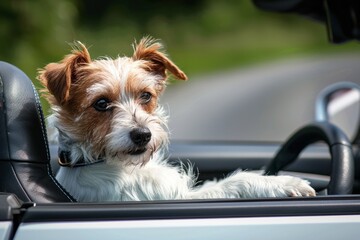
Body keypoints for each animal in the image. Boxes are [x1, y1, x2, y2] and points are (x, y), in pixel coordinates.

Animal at [38, 37, 316, 202]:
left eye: (146, 95)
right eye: (101, 103)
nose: (143, 135)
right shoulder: (183, 198)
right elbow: (234, 182)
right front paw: (285, 182)